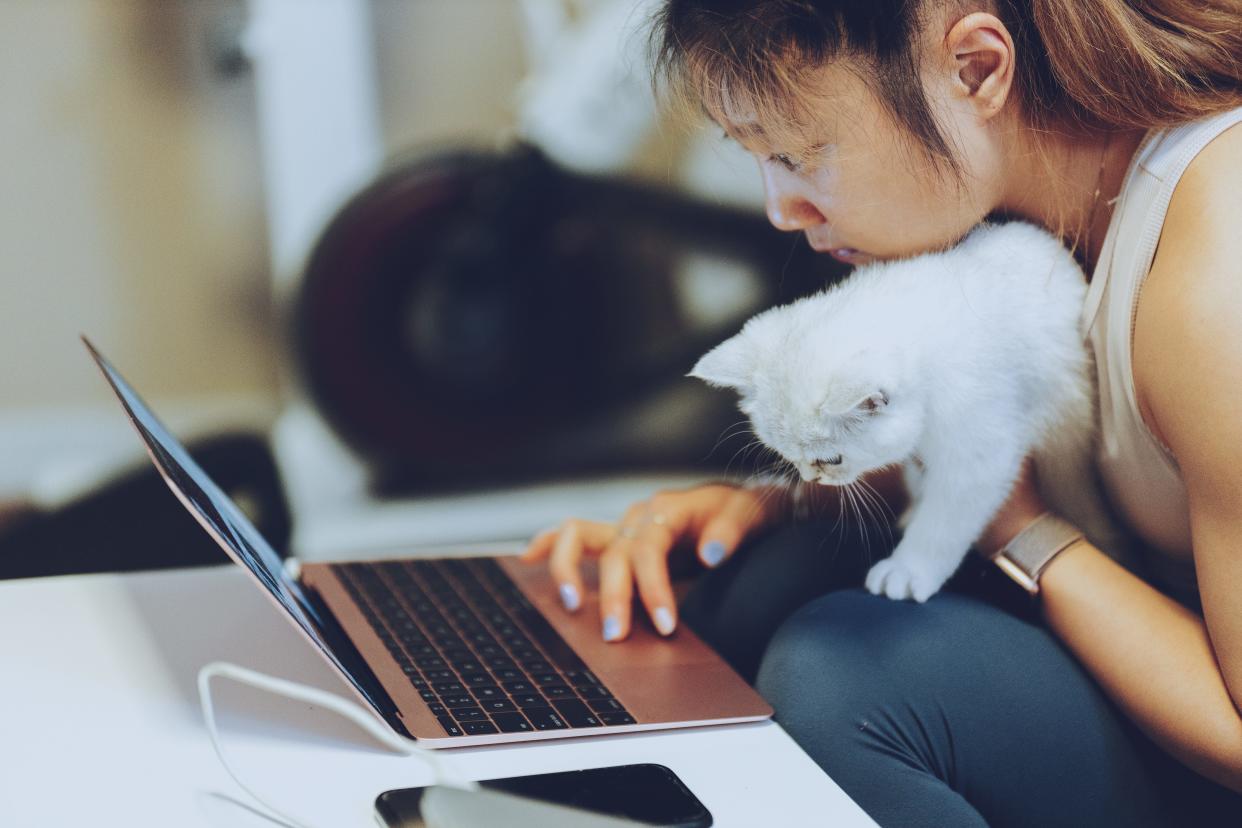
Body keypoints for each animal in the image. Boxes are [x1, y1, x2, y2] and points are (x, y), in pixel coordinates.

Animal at [690, 222, 1127, 603]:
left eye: (831, 460)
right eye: (788, 457)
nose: (811, 478)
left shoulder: (980, 452)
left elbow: (944, 521)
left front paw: (909, 569)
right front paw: (913, 511)